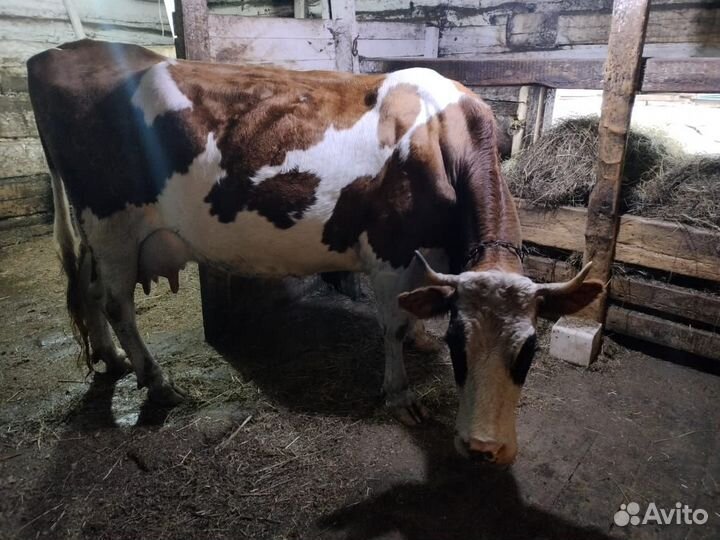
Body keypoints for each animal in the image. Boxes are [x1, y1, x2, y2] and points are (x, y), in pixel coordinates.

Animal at [28, 40, 602, 465]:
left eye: (529, 351)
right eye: (459, 347)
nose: (484, 448)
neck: (440, 135)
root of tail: (62, 52)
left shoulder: (427, 254)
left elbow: (420, 304)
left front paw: (420, 339)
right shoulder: (389, 249)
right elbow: (392, 325)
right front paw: (400, 395)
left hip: (100, 232)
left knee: (90, 290)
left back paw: (113, 359)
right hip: (112, 224)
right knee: (118, 303)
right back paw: (157, 381)